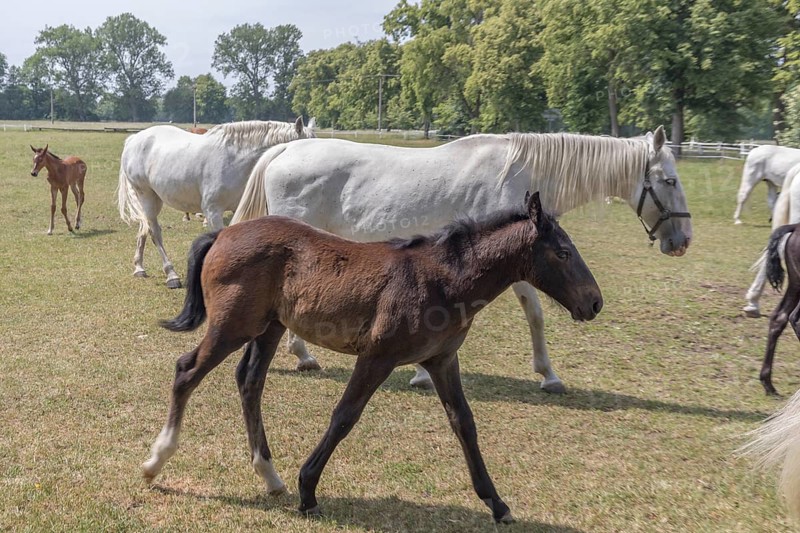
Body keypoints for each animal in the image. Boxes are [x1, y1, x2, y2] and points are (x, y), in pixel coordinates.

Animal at [117, 117, 315, 288]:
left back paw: (139, 268)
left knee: (144, 228)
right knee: (154, 232)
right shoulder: (213, 211)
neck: (234, 159)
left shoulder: (238, 209)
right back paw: (171, 275)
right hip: (147, 196)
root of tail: (135, 139)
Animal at [142, 192, 603, 523]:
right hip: (232, 326)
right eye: (563, 253)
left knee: (249, 381)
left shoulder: (442, 361)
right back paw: (155, 461)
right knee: (187, 371)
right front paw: (308, 490)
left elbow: (464, 424)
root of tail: (222, 234)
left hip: (269, 327)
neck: (444, 280)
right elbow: (345, 416)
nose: (594, 302)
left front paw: (497, 504)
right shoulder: (377, 357)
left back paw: (270, 476)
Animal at [231, 125, 692, 392]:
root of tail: (284, 151)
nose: (683, 240)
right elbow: (536, 313)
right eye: (669, 180)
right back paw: (303, 356)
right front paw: (549, 375)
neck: (520, 174)